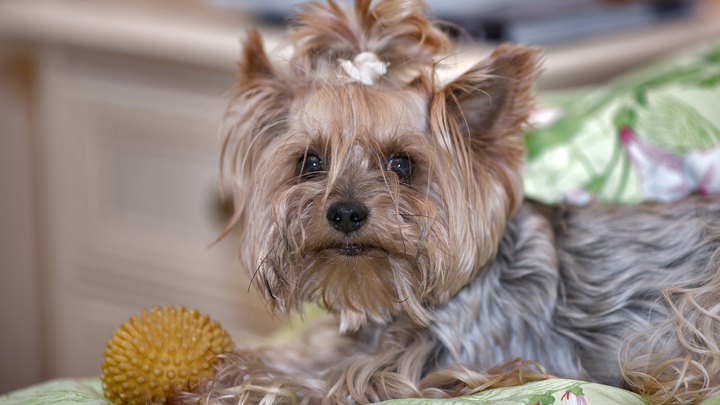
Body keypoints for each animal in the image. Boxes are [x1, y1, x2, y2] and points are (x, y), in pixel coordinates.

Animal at [174, 1, 720, 402]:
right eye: (310, 162)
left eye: (402, 165)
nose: (345, 212)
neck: (399, 304)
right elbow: (294, 356)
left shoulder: (442, 363)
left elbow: (319, 381)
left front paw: (226, 380)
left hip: (697, 306)